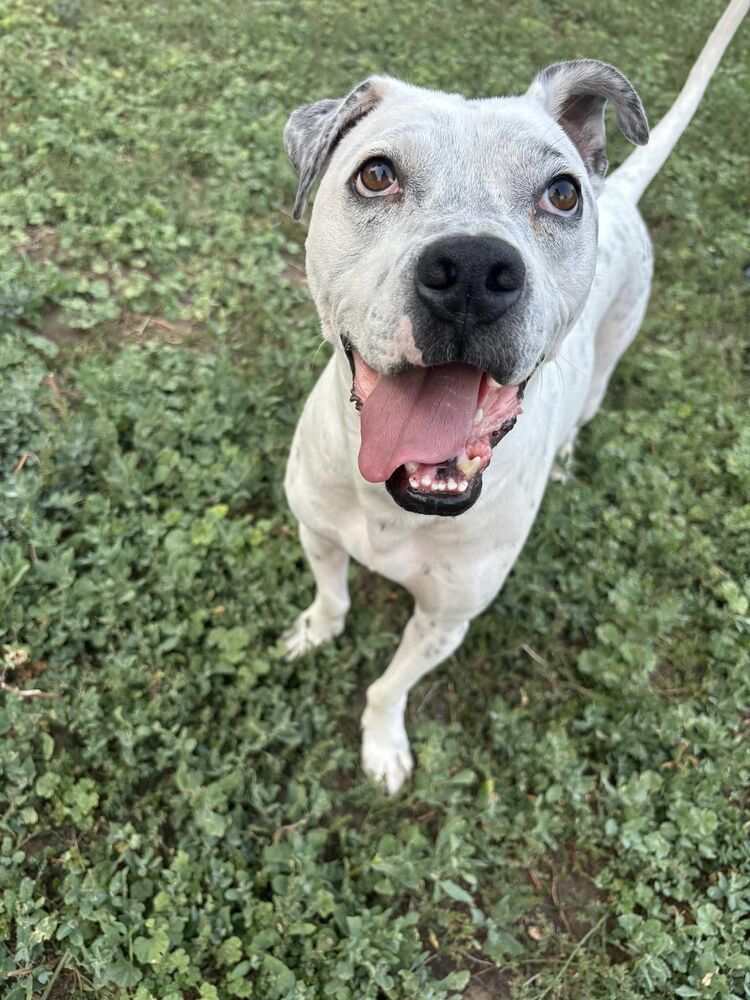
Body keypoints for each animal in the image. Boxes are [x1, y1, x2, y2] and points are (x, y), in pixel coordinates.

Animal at [280, 1, 748, 796]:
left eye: (560, 192)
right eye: (375, 175)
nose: (472, 269)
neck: (389, 500)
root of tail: (619, 188)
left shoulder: (445, 622)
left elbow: (389, 686)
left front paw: (382, 743)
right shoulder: (317, 532)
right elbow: (334, 597)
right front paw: (315, 631)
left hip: (604, 366)